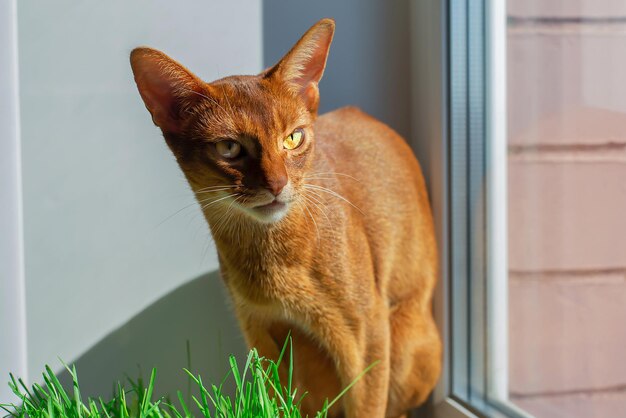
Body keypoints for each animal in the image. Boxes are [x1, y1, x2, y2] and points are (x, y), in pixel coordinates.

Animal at [128, 18, 438, 418]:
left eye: (293, 138)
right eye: (228, 148)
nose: (277, 184)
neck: (271, 259)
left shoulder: (367, 334)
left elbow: (367, 405)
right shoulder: (261, 333)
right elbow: (272, 401)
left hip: (407, 340)